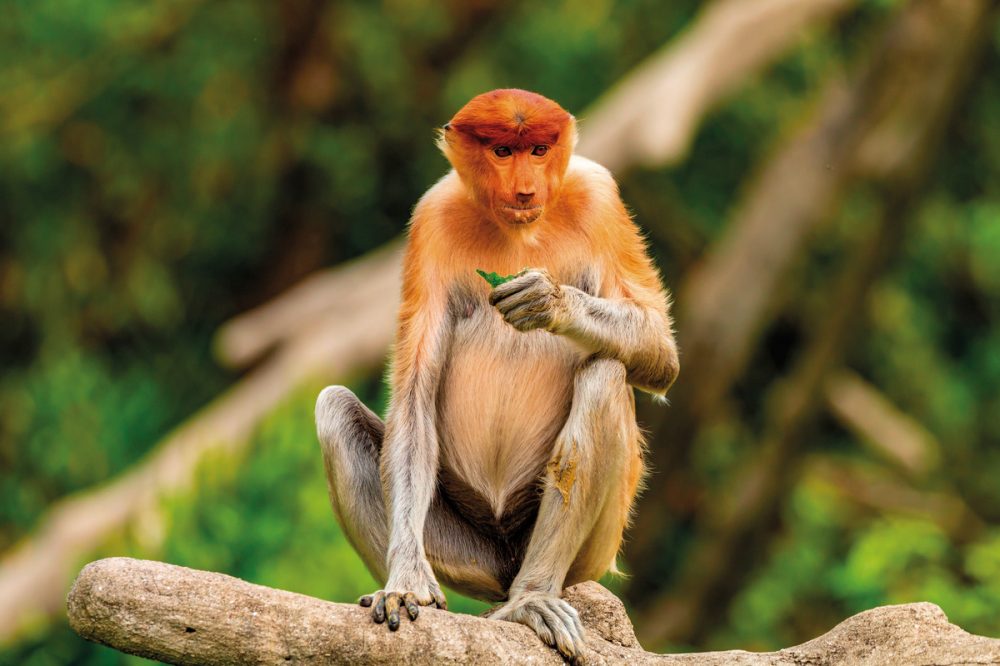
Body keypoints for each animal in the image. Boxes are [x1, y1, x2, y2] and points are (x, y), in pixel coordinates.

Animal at [318, 88, 680, 660]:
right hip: (471, 554)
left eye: (538, 149)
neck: (520, 229)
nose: (526, 190)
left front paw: (547, 300)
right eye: (503, 151)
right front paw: (404, 584)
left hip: (593, 553)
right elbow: (416, 396)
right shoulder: (431, 219)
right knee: (334, 408)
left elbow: (661, 351)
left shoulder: (601, 197)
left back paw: (531, 600)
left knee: (604, 374)